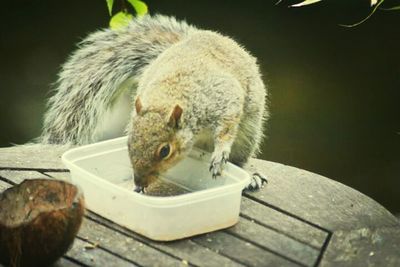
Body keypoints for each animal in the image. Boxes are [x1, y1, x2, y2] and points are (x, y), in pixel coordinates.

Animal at [41, 14, 268, 192]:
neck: (169, 94)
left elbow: (227, 126)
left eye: (165, 151)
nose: (139, 183)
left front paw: (220, 154)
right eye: (128, 144)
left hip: (247, 136)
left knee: (241, 157)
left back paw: (250, 176)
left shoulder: (222, 98)